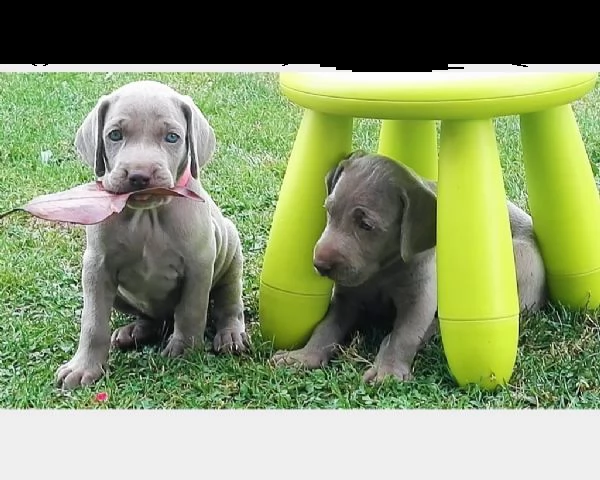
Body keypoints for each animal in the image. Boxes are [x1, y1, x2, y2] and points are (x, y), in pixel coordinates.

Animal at [57, 79, 250, 390]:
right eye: (115, 135)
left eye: (172, 137)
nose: (139, 175)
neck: (147, 216)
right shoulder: (96, 266)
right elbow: (93, 322)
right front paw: (83, 367)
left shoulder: (199, 265)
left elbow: (191, 311)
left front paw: (184, 350)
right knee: (151, 318)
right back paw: (134, 331)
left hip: (230, 254)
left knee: (229, 303)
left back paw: (231, 335)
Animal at [272, 150, 548, 382]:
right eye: (329, 211)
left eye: (366, 225)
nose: (319, 265)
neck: (382, 270)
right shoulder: (346, 298)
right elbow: (326, 327)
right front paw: (303, 356)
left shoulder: (419, 297)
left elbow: (403, 335)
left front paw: (388, 371)